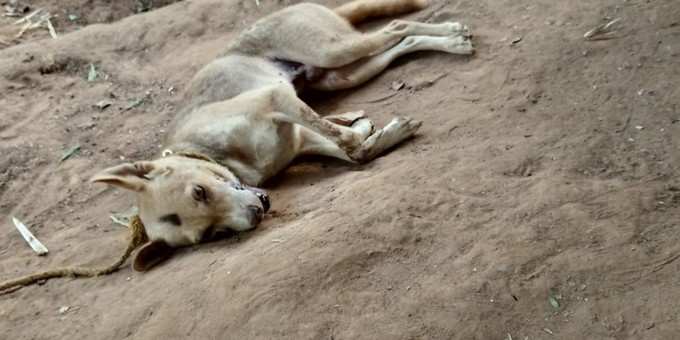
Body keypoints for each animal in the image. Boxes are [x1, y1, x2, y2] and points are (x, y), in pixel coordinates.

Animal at [90, 0, 472, 270]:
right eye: (213, 234)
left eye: (199, 192)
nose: (256, 214)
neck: (223, 158)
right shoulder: (298, 137)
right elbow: (351, 149)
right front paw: (376, 132)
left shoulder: (275, 98)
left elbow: (345, 141)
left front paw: (362, 130)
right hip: (342, 74)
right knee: (401, 40)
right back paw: (449, 41)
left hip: (332, 50)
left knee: (396, 25)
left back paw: (453, 34)